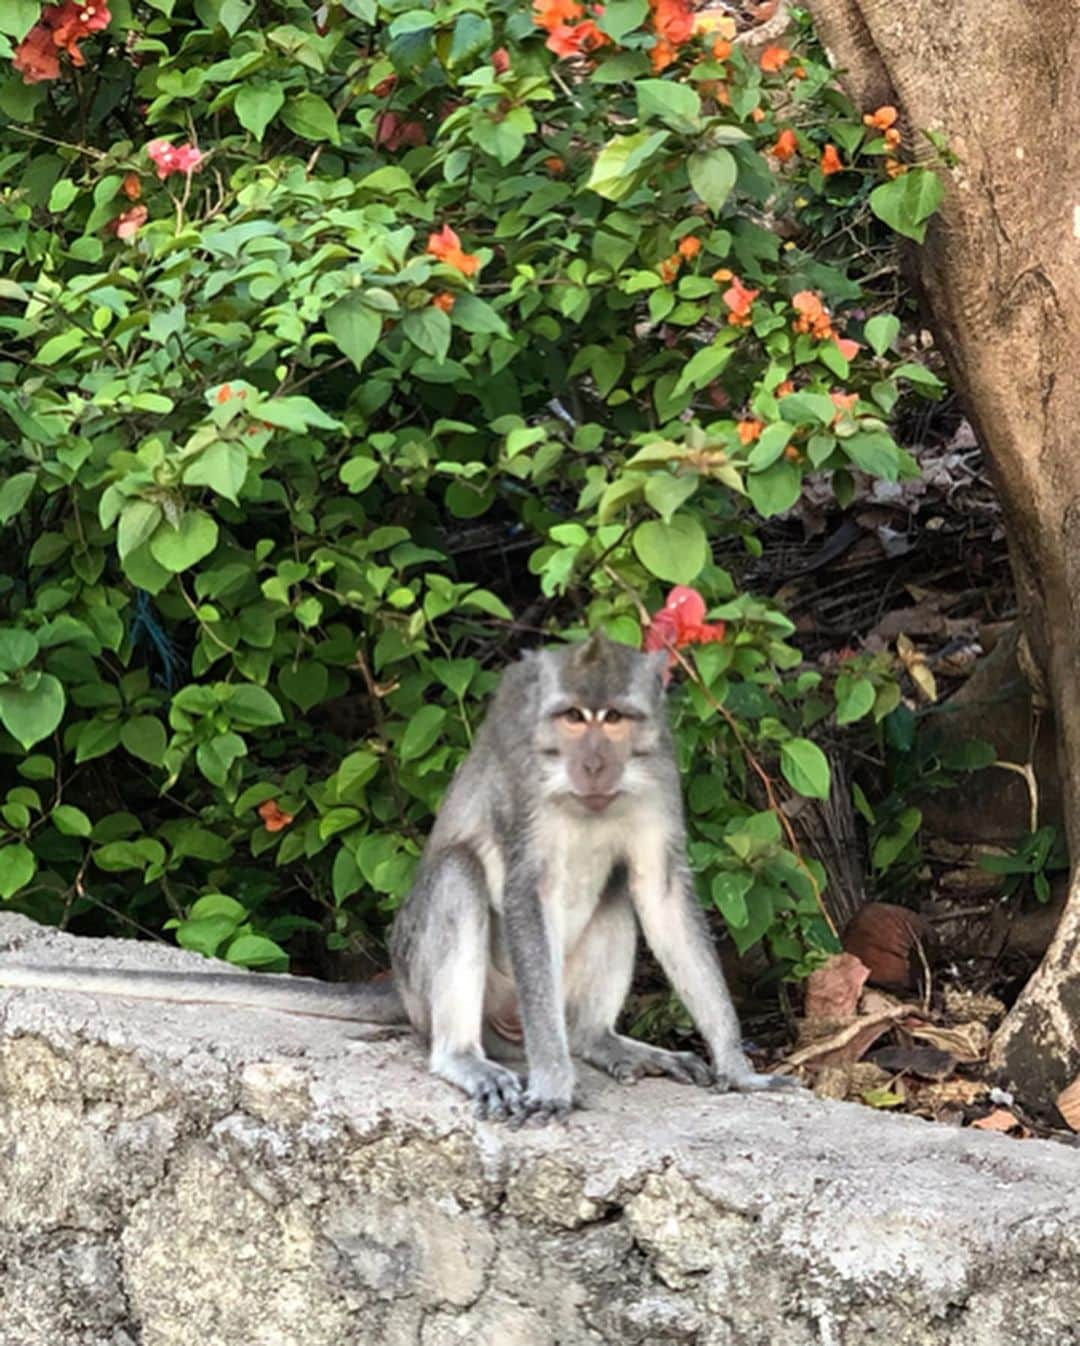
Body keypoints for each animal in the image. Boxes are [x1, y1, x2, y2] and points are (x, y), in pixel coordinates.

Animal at [0, 635, 791, 1119]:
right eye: (572, 718)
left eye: (618, 719)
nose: (595, 764)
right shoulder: (525, 794)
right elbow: (521, 890)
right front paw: (554, 1081)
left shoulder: (659, 781)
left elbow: (658, 889)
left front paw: (737, 1065)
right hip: (430, 980)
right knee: (461, 876)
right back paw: (467, 1056)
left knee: (617, 893)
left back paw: (598, 1040)